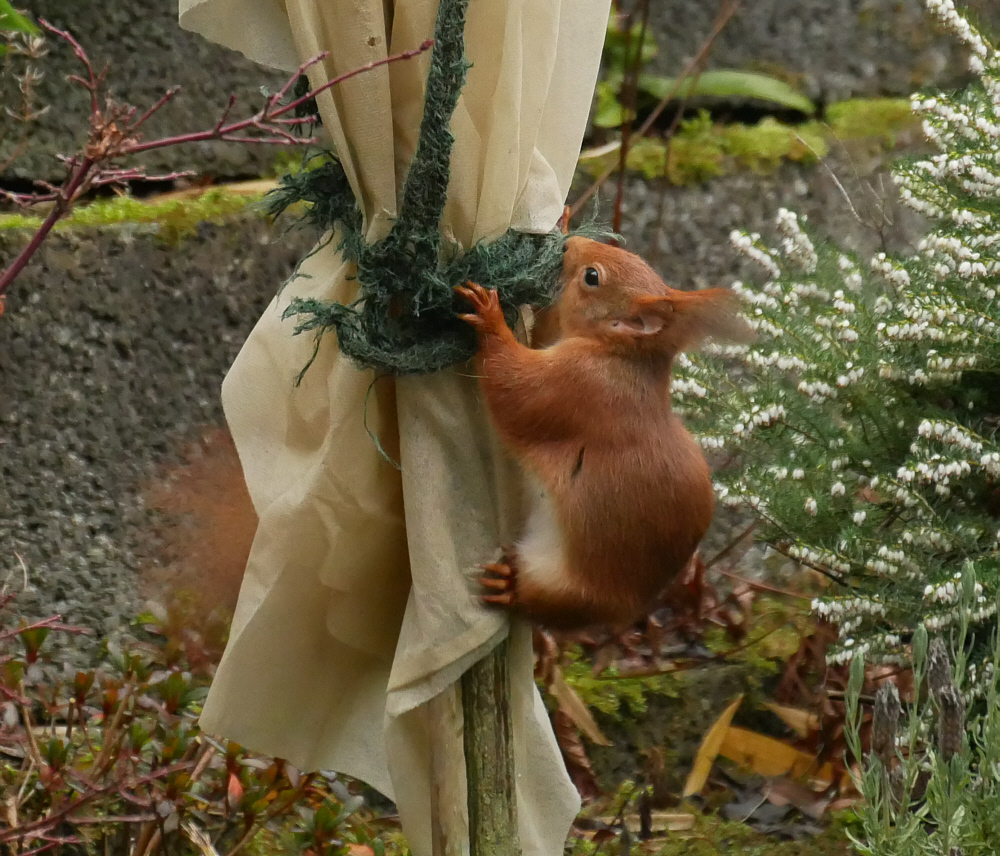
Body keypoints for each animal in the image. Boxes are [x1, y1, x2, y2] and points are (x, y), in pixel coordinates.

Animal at [458, 234, 748, 628]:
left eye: (591, 277)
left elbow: (513, 387)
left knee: (541, 599)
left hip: (570, 591)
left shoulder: (576, 385)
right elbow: (546, 333)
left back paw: (511, 585)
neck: (620, 356)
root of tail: (627, 610)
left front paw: (489, 317)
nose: (569, 244)